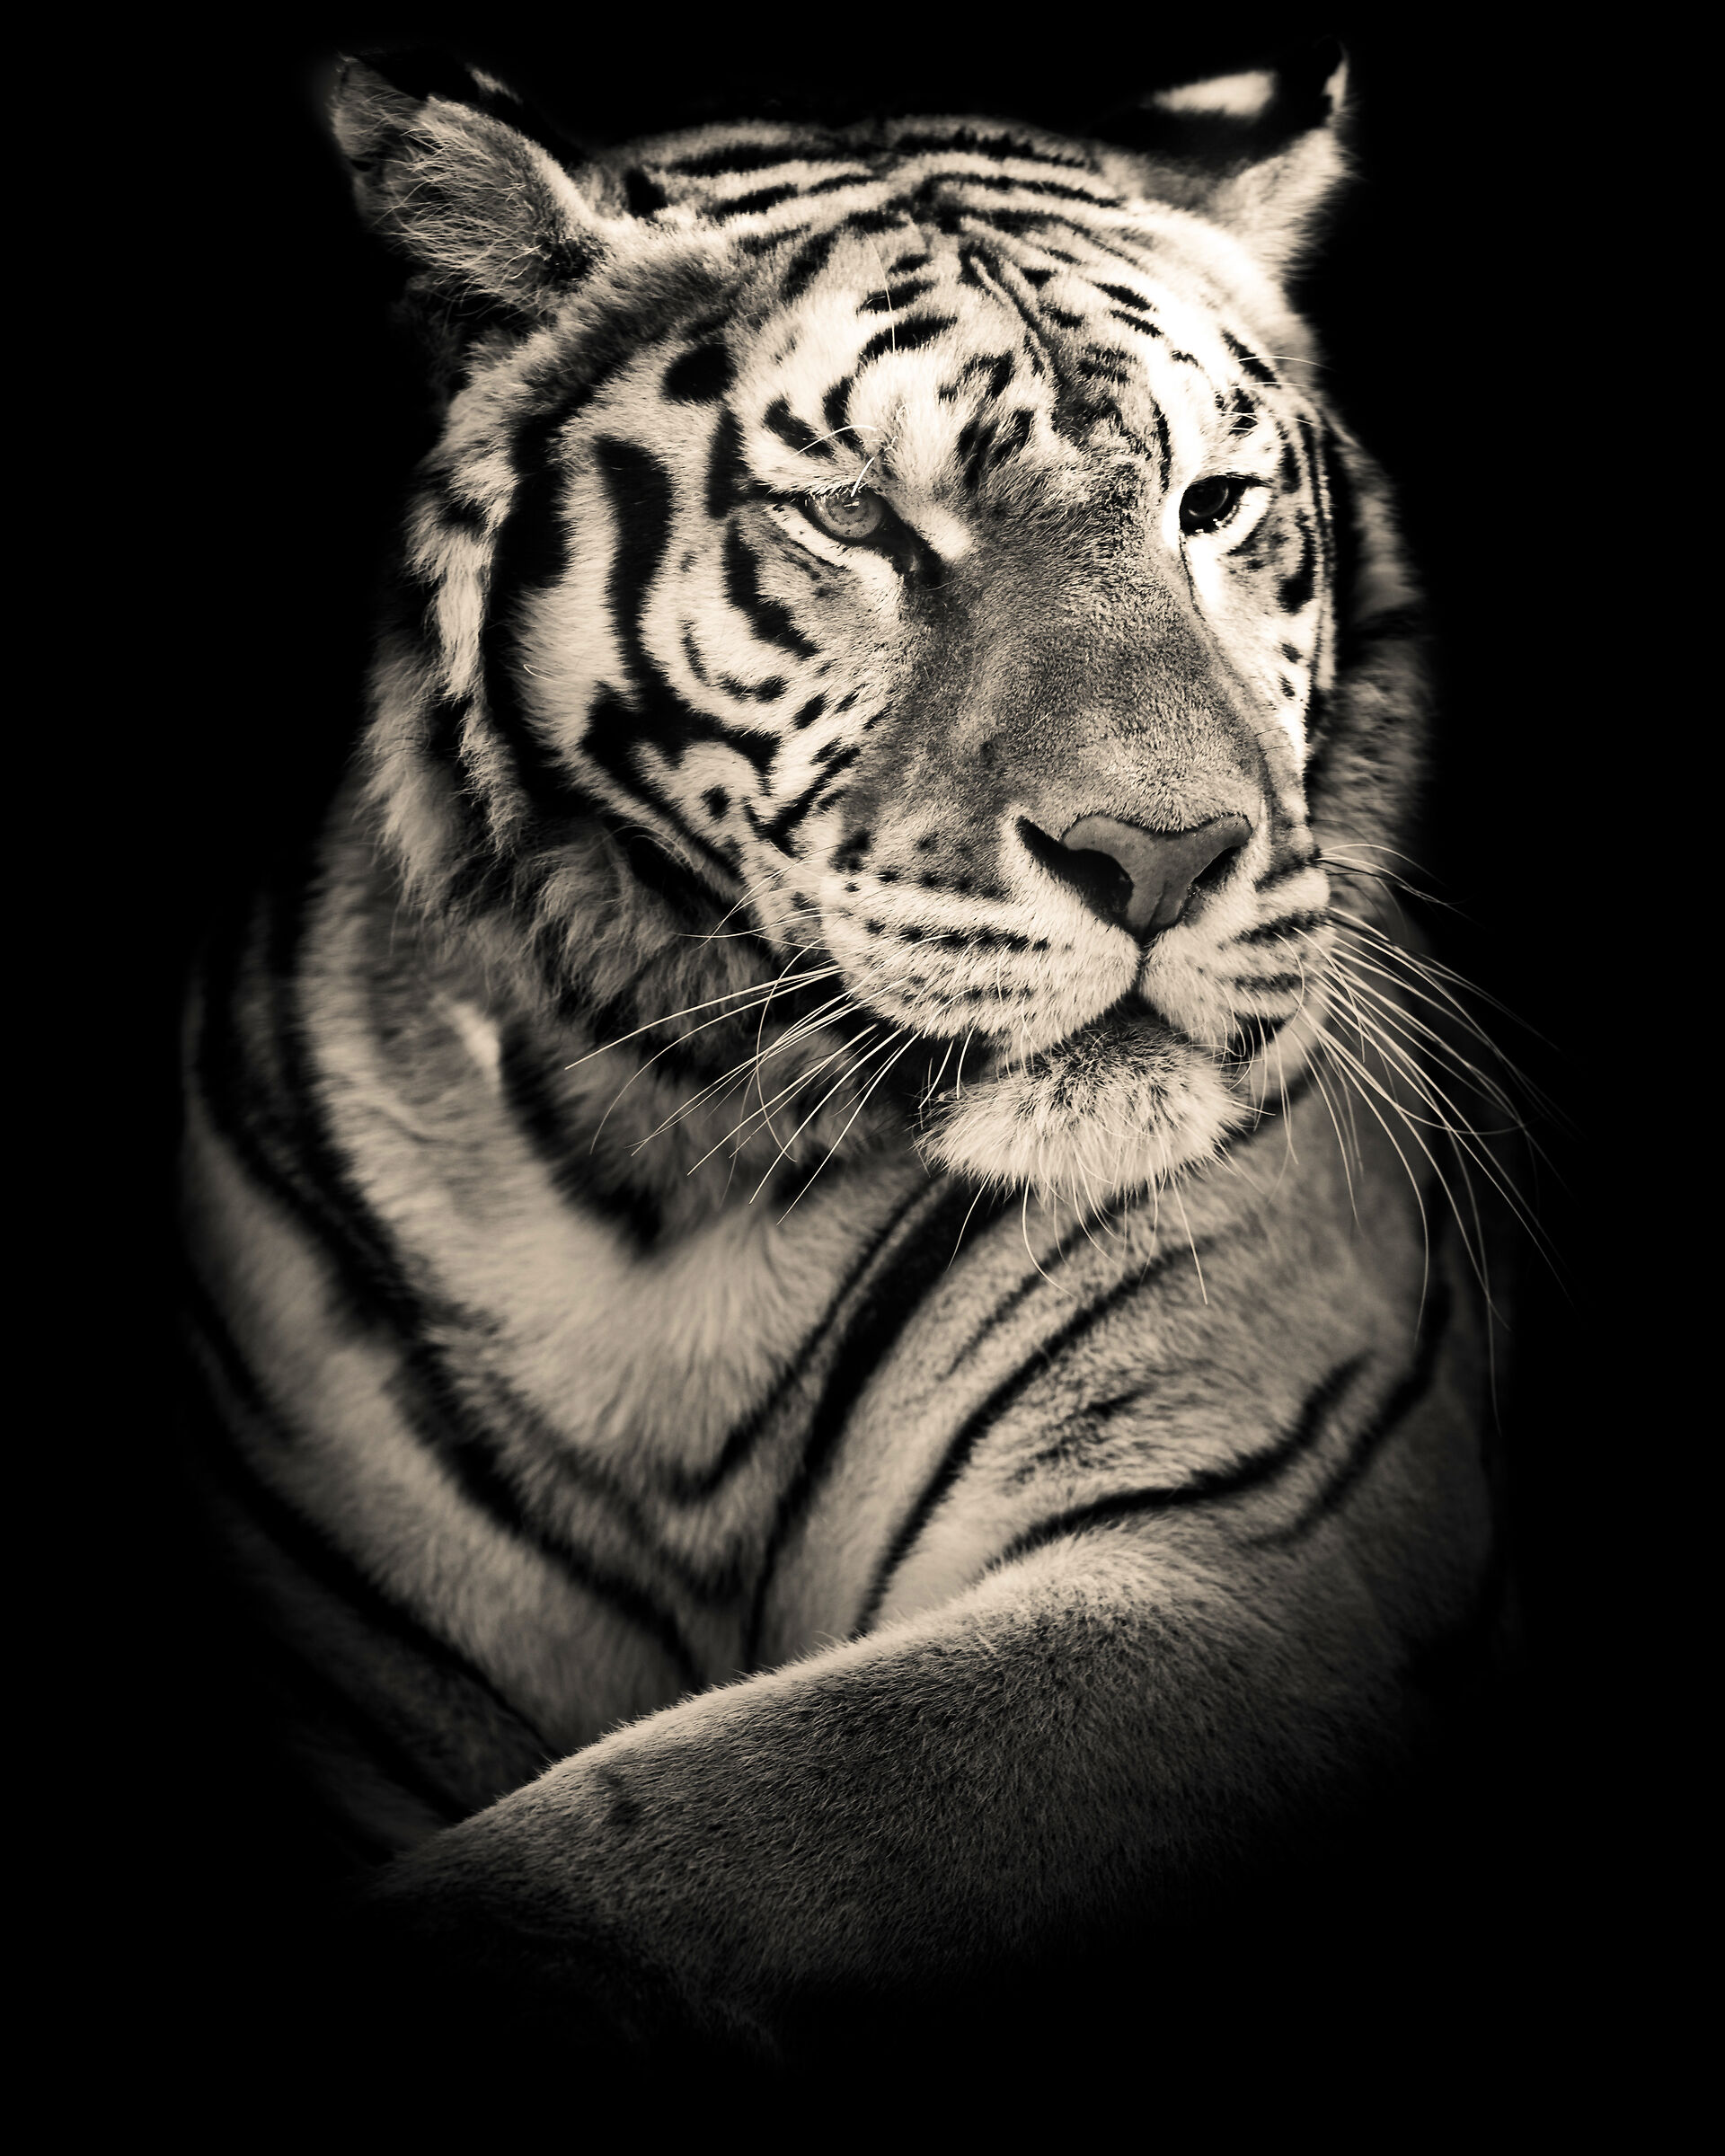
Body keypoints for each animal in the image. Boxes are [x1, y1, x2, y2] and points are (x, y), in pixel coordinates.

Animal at [180, 43, 1518, 2061]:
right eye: (861, 522)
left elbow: (683, 1828)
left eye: (1211, 505)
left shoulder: (1243, 1560)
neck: (671, 1173)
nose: (1166, 856)